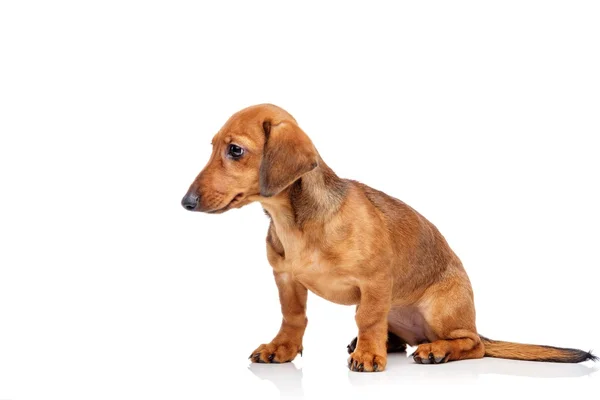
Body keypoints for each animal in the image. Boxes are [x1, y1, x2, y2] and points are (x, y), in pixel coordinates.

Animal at [182, 104, 596, 372]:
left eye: (236, 150)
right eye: (214, 147)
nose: (186, 202)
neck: (295, 222)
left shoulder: (374, 282)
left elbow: (367, 318)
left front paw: (368, 355)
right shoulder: (286, 280)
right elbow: (293, 317)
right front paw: (281, 348)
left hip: (442, 311)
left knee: (473, 344)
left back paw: (434, 350)